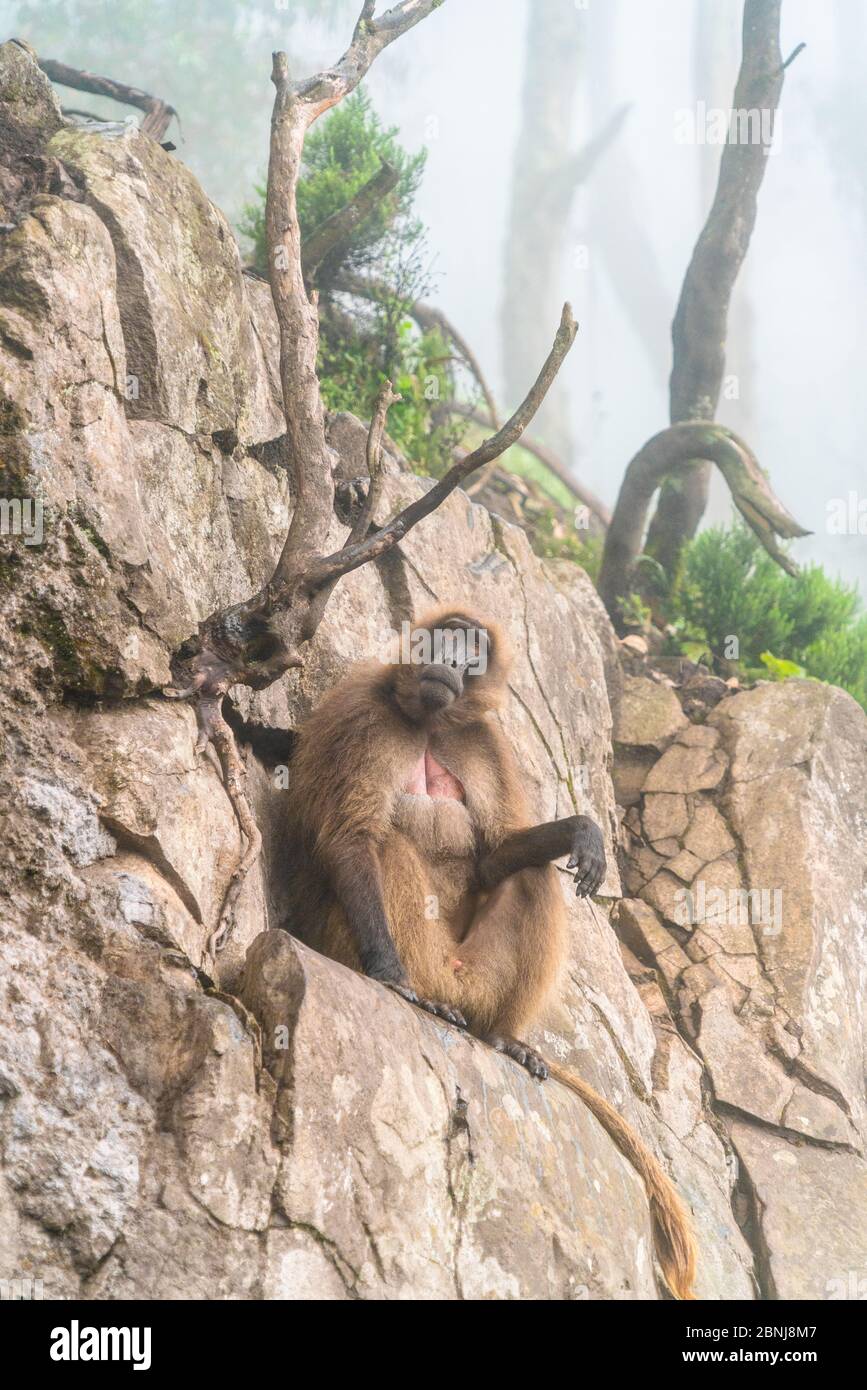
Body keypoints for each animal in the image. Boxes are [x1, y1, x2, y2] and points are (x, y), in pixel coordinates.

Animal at [281, 605, 697, 1300]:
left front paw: (580, 831)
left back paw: (503, 1036)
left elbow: (497, 854)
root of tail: (454, 985)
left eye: (471, 651)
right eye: (445, 641)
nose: (450, 661)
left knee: (533, 877)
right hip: (401, 950)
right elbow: (351, 836)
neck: (426, 724)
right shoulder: (360, 710)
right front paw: (387, 976)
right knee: (384, 842)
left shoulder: (483, 740)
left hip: (478, 974)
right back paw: (416, 991)